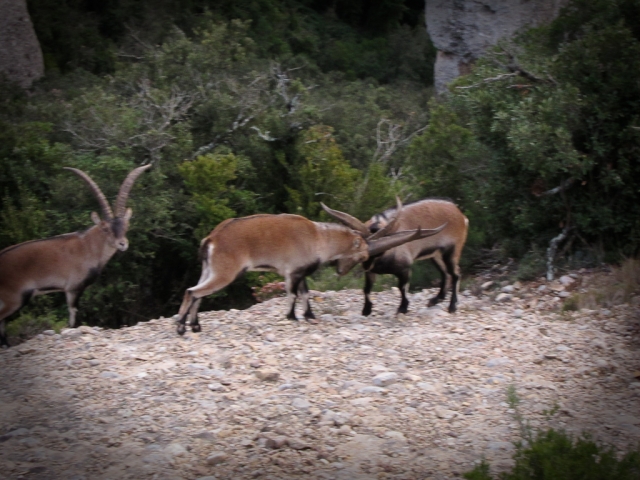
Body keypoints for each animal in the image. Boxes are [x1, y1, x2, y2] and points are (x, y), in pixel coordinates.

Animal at [175, 208, 444, 336]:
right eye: (363, 255)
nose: (341, 271)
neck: (318, 238)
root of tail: (212, 239)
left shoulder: (300, 272)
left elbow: (304, 294)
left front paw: (309, 316)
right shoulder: (292, 271)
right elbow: (293, 294)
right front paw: (291, 317)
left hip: (210, 269)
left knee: (197, 293)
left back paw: (195, 326)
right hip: (226, 271)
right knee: (192, 292)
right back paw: (181, 327)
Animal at [322, 198, 468, 316]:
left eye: (377, 253)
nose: (340, 270)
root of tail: (462, 217)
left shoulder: (405, 268)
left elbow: (402, 288)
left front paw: (402, 308)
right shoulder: (371, 272)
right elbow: (367, 289)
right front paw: (366, 310)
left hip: (452, 251)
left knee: (456, 273)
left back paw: (452, 306)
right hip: (436, 255)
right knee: (445, 273)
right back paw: (435, 300)